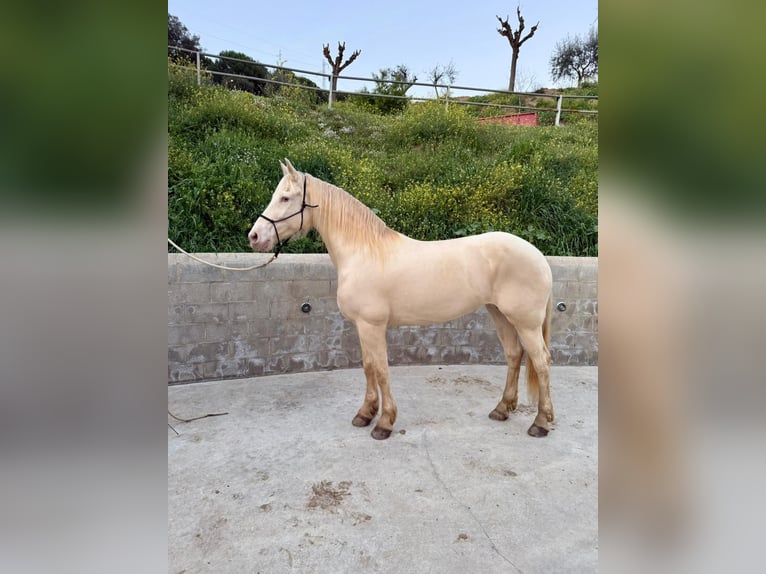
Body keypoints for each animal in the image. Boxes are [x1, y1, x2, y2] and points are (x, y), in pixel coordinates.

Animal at [248, 159, 554, 440]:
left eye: (285, 198)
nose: (254, 236)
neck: (363, 252)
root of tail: (538, 256)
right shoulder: (361, 326)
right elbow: (368, 367)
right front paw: (365, 414)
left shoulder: (372, 326)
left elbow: (381, 370)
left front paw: (384, 423)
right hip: (499, 314)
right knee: (514, 355)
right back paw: (502, 409)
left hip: (525, 322)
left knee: (541, 362)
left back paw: (540, 422)